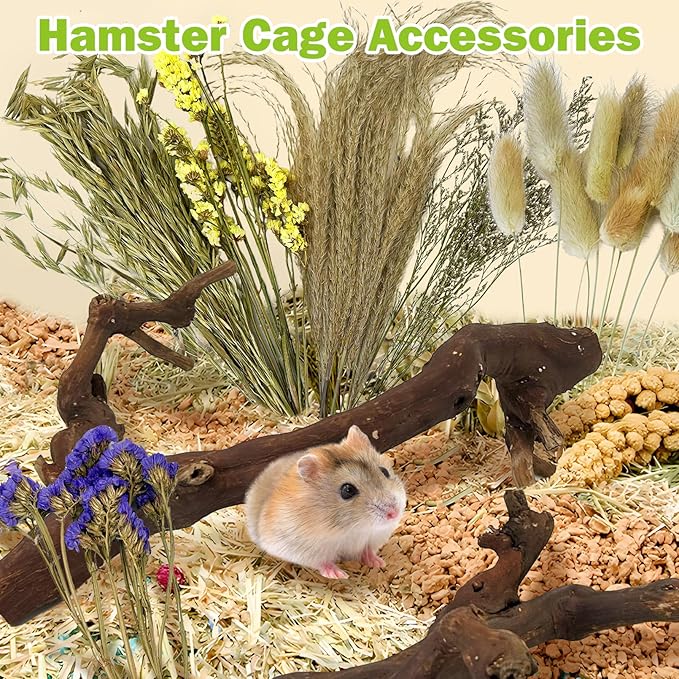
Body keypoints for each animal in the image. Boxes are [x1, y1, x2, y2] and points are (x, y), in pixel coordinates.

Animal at [244, 425, 407, 579]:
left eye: (384, 472)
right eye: (347, 490)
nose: (394, 513)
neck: (352, 528)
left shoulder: (374, 536)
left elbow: (367, 549)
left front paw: (378, 562)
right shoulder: (301, 547)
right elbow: (322, 562)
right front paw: (339, 575)